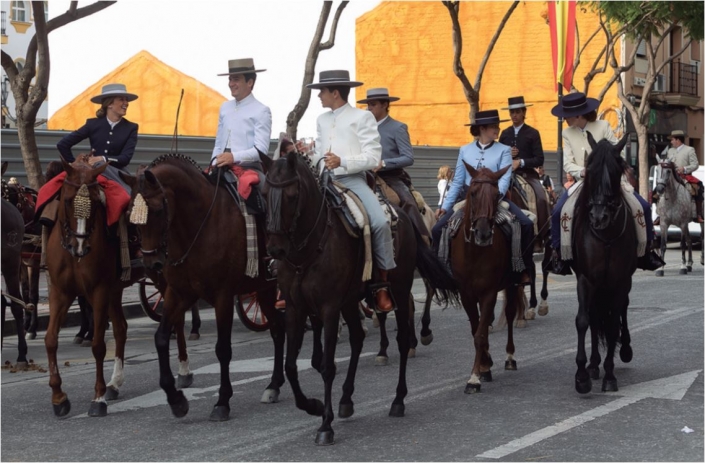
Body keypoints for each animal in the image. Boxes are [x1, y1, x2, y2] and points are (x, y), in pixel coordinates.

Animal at [43, 156, 143, 416]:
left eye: (97, 202)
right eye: (68, 199)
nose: (80, 247)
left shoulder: (98, 292)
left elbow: (98, 345)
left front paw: (97, 398)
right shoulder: (60, 293)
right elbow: (50, 339)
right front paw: (58, 397)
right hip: (116, 291)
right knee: (121, 329)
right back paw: (114, 384)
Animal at [121, 154, 286, 422]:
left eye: (158, 210)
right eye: (129, 214)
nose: (151, 264)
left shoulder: (222, 296)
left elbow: (223, 349)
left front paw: (222, 401)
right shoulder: (177, 293)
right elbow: (161, 338)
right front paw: (176, 399)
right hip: (263, 288)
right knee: (278, 328)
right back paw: (274, 385)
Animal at [260, 152, 456, 446]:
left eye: (293, 195)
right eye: (263, 192)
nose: (275, 249)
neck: (309, 249)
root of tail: (404, 215)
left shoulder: (329, 308)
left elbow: (327, 366)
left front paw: (325, 425)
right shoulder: (296, 308)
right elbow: (291, 366)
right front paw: (313, 406)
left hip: (398, 289)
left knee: (402, 336)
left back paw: (398, 399)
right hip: (351, 300)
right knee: (357, 339)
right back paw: (346, 399)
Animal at [452, 164, 524, 396]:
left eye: (496, 195)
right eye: (473, 193)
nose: (483, 233)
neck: (475, 252)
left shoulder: (489, 293)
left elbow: (480, 335)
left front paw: (474, 378)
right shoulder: (466, 294)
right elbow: (477, 329)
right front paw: (484, 365)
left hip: (511, 284)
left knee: (509, 314)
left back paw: (510, 357)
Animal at [572, 135, 640, 396]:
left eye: (616, 170)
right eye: (589, 169)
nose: (598, 217)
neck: (607, 235)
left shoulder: (620, 281)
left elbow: (612, 326)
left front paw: (609, 376)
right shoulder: (585, 279)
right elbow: (583, 320)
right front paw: (581, 376)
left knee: (621, 311)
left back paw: (625, 349)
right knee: (593, 316)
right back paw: (592, 365)